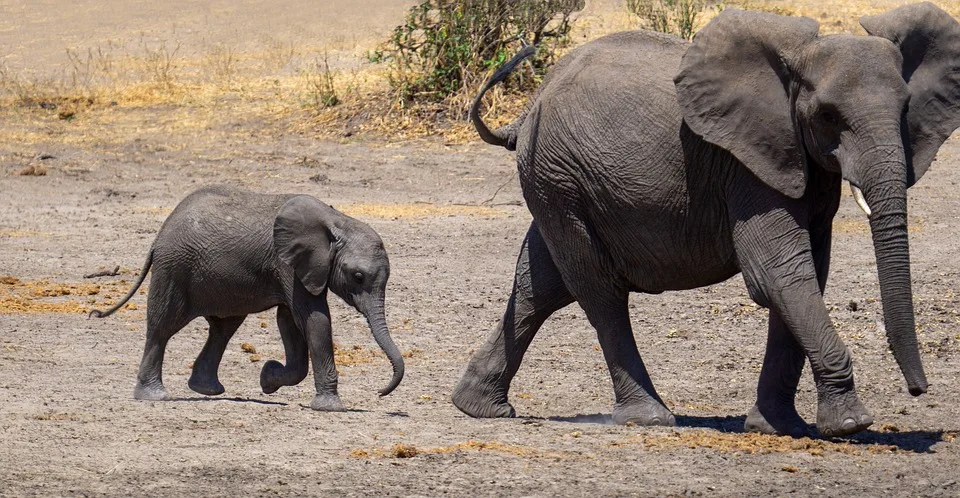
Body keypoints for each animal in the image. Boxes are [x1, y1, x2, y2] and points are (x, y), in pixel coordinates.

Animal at [88, 185, 404, 410]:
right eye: (358, 277)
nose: (379, 392)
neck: (338, 221)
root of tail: (157, 237)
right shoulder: (287, 264)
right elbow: (314, 319)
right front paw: (331, 407)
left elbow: (290, 320)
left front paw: (267, 380)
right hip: (173, 269)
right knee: (162, 326)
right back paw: (155, 396)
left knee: (223, 328)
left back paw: (207, 390)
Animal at [450, 4, 960, 440]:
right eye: (829, 116)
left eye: (905, 110)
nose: (918, 390)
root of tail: (528, 109)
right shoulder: (743, 163)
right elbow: (777, 273)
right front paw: (850, 424)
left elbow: (807, 272)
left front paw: (778, 428)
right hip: (559, 174)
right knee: (598, 290)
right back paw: (649, 419)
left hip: (556, 180)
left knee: (540, 284)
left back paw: (478, 407)